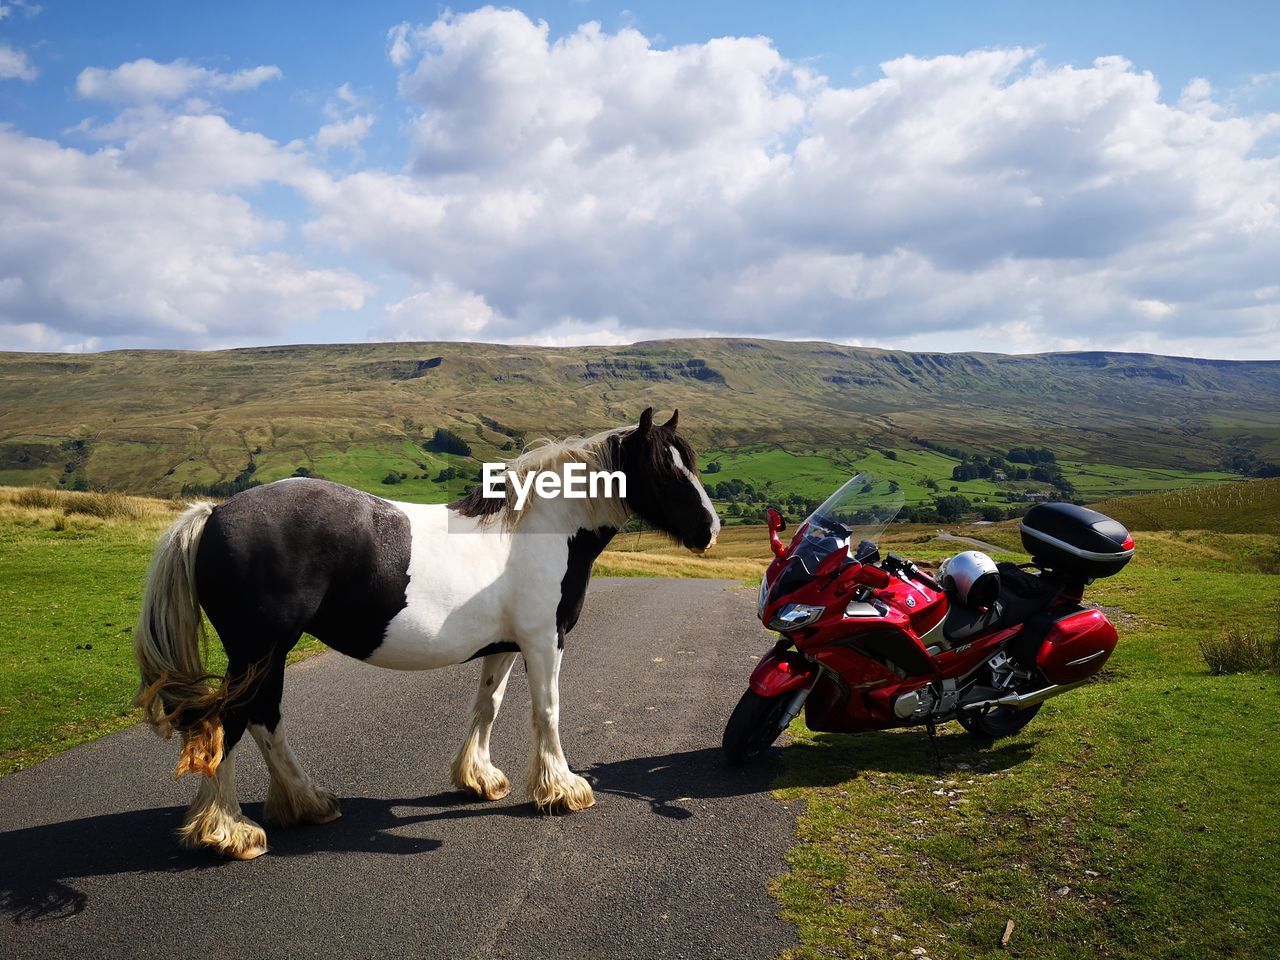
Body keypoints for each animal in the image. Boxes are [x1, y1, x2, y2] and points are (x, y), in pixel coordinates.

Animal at [141, 409, 727, 860]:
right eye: (665, 471)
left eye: (690, 464)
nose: (710, 530)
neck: (542, 527)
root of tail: (215, 512)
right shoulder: (544, 641)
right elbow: (547, 712)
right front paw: (563, 789)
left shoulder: (504, 647)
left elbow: (487, 707)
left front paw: (480, 779)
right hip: (257, 651)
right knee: (228, 722)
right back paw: (228, 832)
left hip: (267, 656)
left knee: (264, 721)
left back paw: (307, 804)